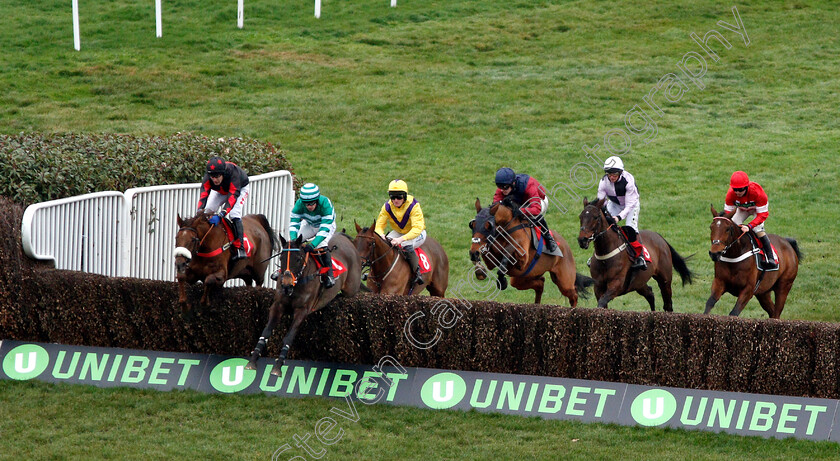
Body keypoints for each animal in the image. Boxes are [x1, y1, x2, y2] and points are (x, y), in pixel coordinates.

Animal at [244, 234, 360, 374]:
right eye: (281, 258)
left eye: (299, 259)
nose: (286, 284)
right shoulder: (278, 305)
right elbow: (266, 332)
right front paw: (252, 360)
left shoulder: (302, 310)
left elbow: (289, 337)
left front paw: (278, 366)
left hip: (351, 290)